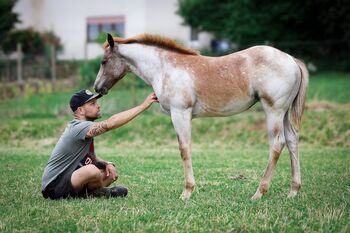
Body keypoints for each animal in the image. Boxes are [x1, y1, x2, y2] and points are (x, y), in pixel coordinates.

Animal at [93, 32, 308, 200]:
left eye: (104, 61)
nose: (97, 88)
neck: (165, 68)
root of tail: (292, 59)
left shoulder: (180, 113)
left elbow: (184, 149)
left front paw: (187, 191)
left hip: (273, 110)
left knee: (277, 144)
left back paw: (259, 192)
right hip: (283, 113)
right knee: (292, 140)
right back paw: (293, 191)